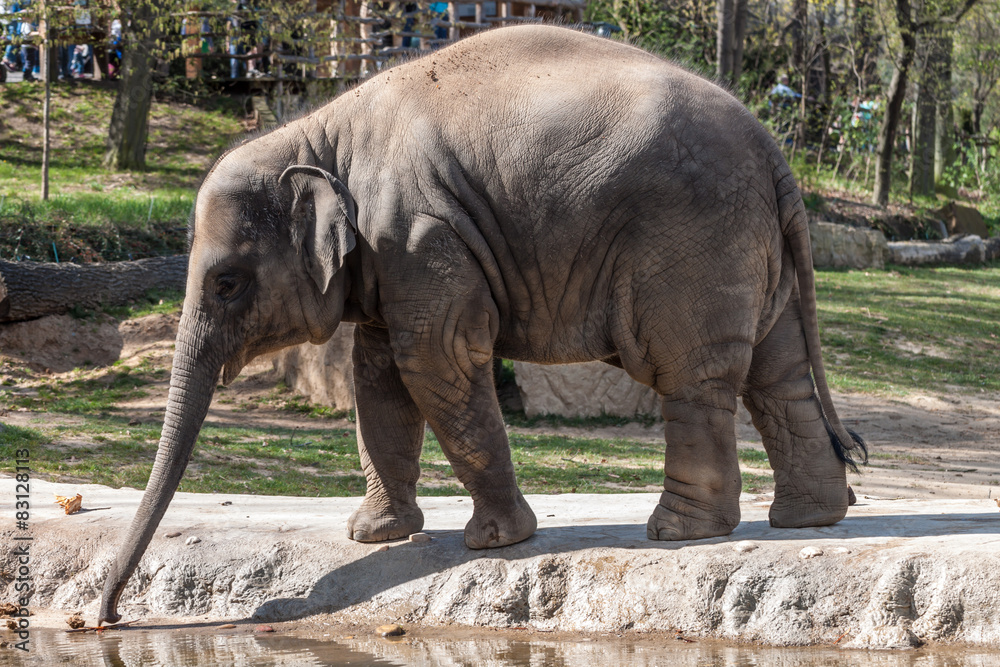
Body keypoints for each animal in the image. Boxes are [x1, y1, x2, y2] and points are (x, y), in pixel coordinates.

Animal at [99, 24, 866, 624]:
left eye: (226, 284)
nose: (106, 616)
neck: (320, 134)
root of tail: (775, 153)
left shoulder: (420, 238)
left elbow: (435, 361)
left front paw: (496, 541)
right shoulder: (391, 260)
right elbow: (379, 377)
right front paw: (375, 536)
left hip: (693, 241)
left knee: (692, 374)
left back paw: (679, 531)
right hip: (748, 247)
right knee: (777, 373)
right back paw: (811, 518)